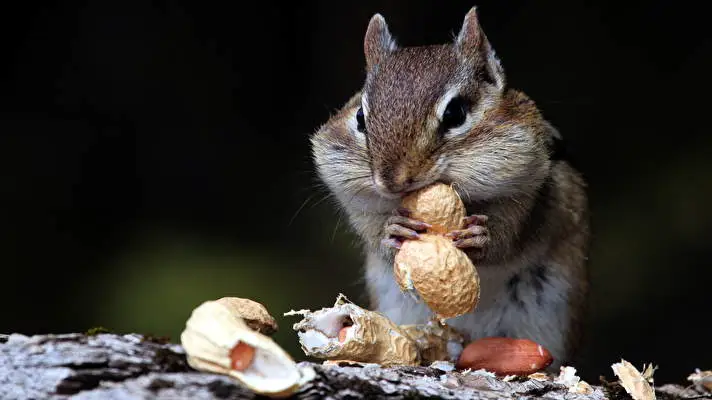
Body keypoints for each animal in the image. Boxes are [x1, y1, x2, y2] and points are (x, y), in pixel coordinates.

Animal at [310, 7, 590, 369]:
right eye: (360, 117)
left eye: (455, 113)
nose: (391, 181)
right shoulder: (358, 203)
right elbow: (375, 232)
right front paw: (393, 229)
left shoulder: (534, 192)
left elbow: (513, 233)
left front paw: (481, 237)